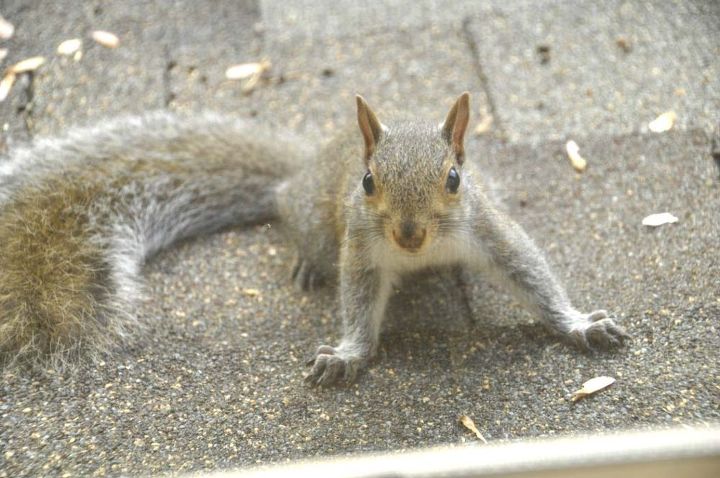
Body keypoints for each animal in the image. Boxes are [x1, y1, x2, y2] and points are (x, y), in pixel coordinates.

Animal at [0, 93, 628, 384]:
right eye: (368, 182)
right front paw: (348, 354)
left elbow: (530, 273)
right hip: (314, 222)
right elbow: (358, 299)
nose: (408, 235)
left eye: (453, 178)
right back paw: (307, 262)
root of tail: (305, 165)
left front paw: (579, 325)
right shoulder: (361, 248)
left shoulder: (488, 227)